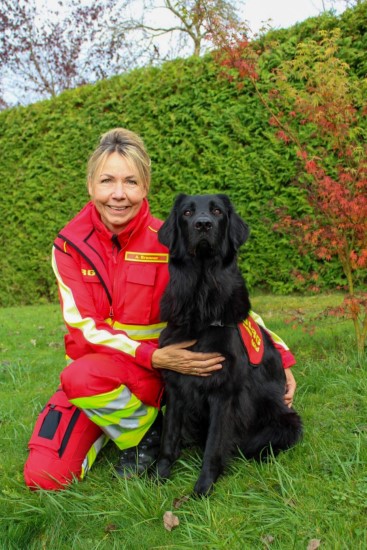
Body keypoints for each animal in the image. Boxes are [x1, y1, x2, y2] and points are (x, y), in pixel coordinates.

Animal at [157, 194, 304, 496]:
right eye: (187, 212)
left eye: (216, 211)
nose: (203, 224)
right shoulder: (176, 386)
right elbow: (168, 438)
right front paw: (159, 476)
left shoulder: (223, 393)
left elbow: (213, 447)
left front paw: (202, 488)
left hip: (287, 421)